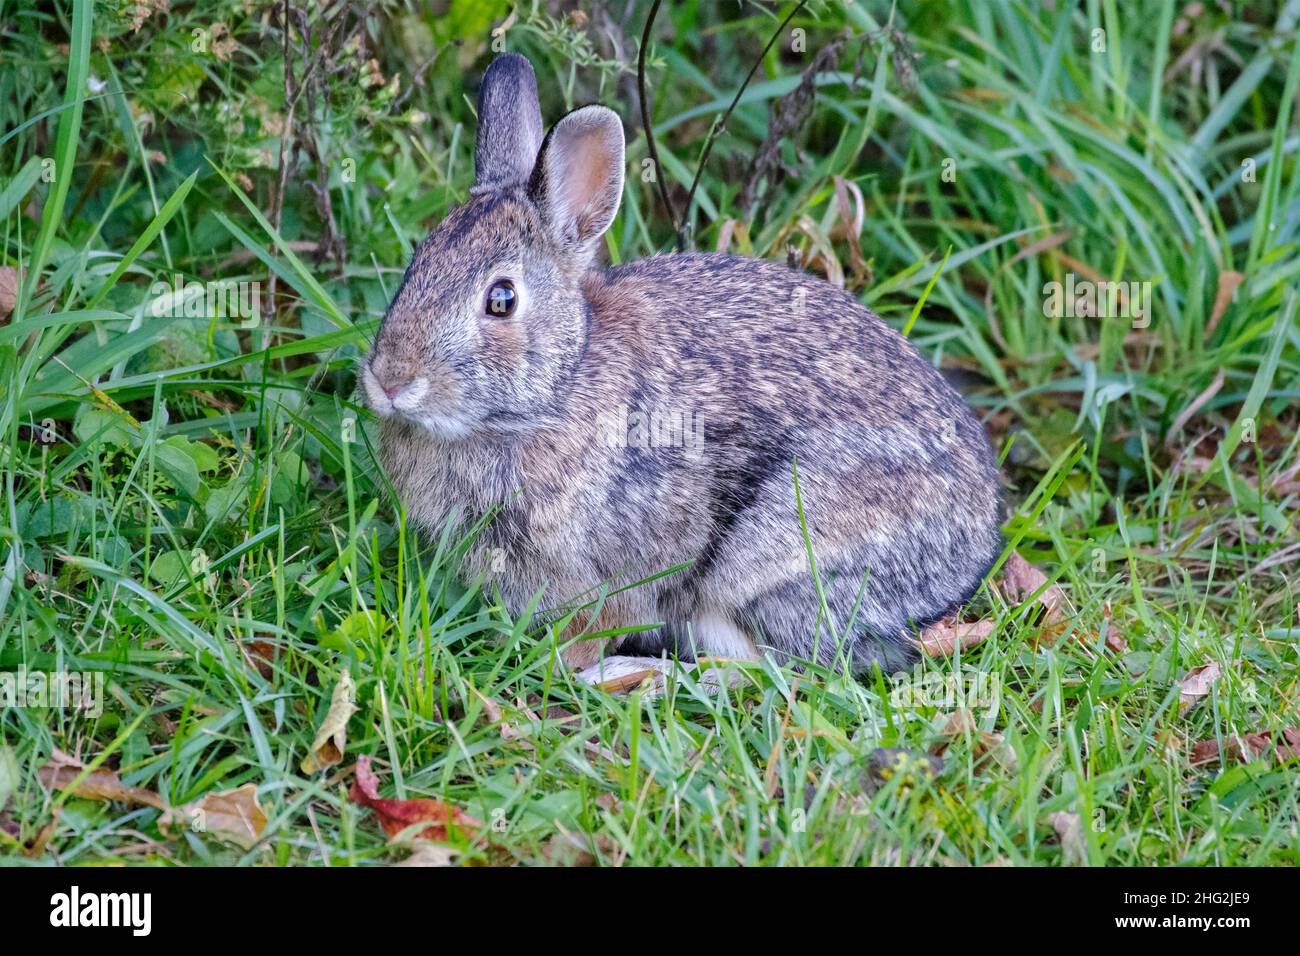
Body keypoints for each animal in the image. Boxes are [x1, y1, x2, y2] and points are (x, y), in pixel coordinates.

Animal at [366, 52, 1003, 686]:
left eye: (501, 300)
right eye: (415, 264)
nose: (390, 380)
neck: (555, 389)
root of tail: (969, 558)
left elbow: (598, 624)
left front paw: (565, 666)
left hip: (771, 564)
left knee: (775, 673)